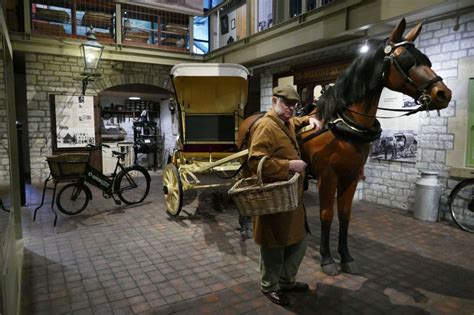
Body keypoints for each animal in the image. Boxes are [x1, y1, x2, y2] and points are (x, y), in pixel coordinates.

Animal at [237, 19, 452, 276]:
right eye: (406, 60)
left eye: (426, 59)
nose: (443, 93)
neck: (344, 125)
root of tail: (253, 117)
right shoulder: (327, 176)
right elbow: (327, 214)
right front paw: (327, 258)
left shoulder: (351, 175)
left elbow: (345, 215)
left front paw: (346, 257)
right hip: (247, 165)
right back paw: (245, 226)